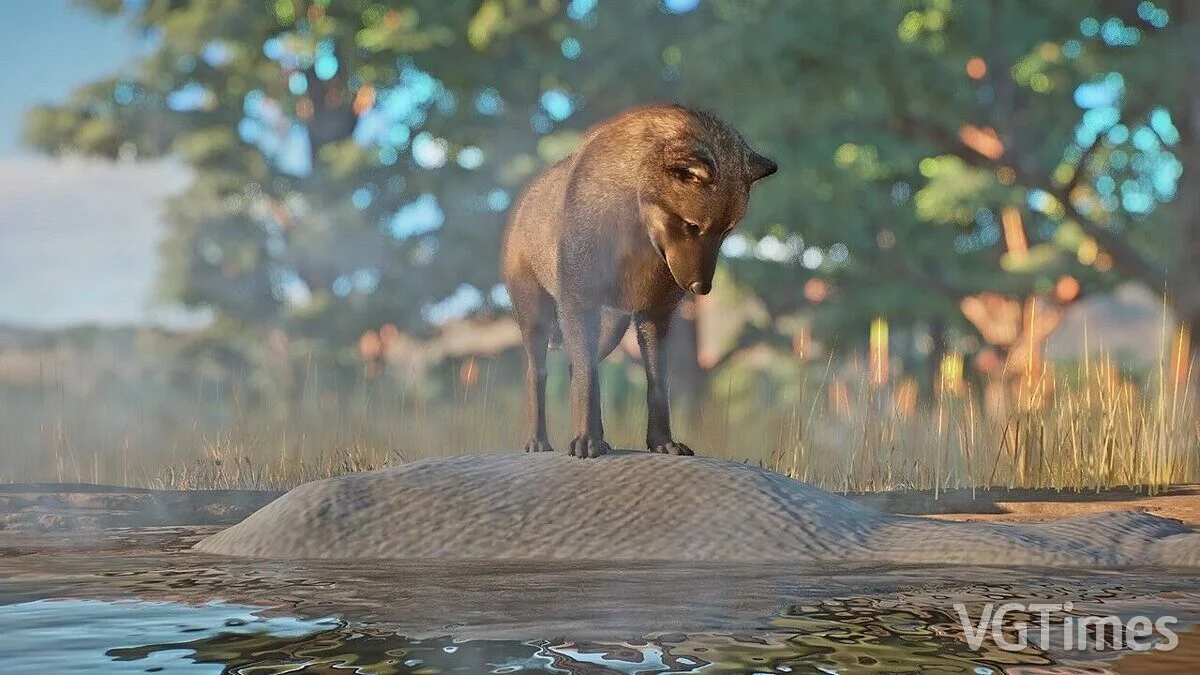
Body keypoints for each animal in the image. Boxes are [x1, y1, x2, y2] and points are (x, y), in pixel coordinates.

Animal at [501, 103, 777, 458]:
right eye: (692, 225)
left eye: (726, 231)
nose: (701, 289)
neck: (634, 243)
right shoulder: (578, 303)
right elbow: (587, 382)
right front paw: (585, 441)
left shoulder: (654, 317)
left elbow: (656, 387)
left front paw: (662, 444)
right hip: (538, 320)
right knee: (540, 373)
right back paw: (540, 441)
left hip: (610, 332)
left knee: (575, 368)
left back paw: (599, 437)